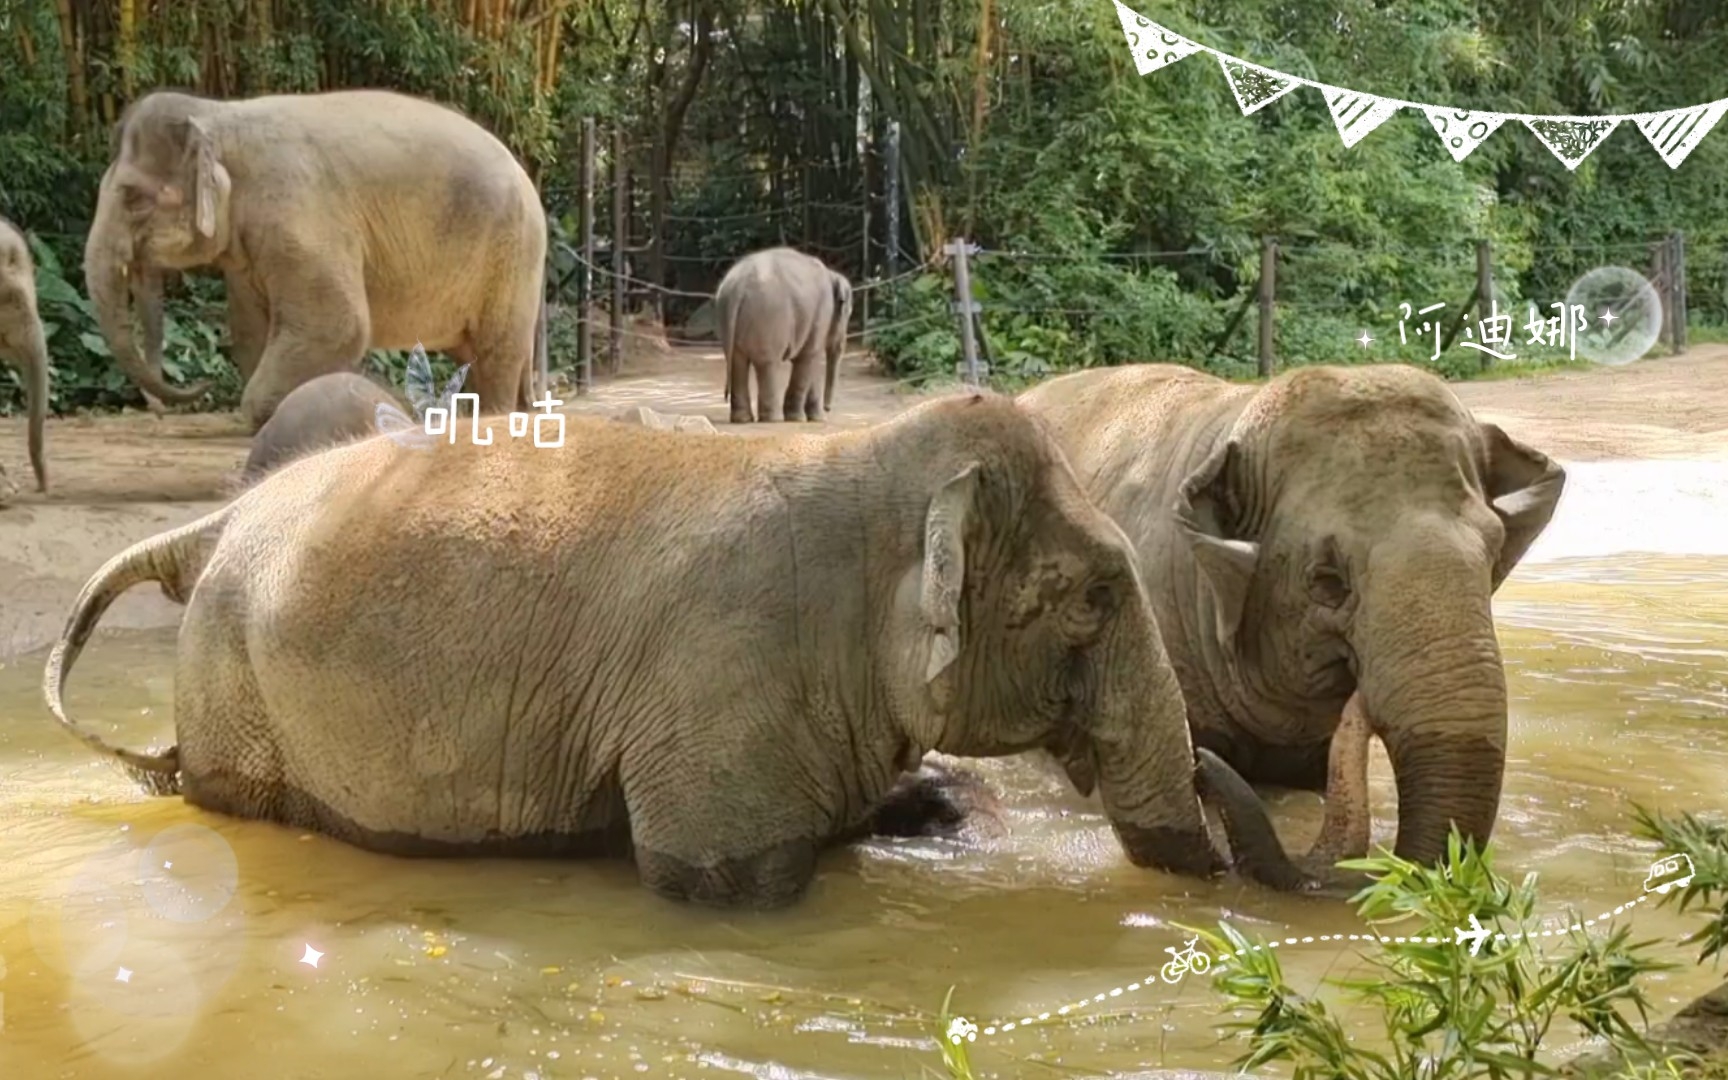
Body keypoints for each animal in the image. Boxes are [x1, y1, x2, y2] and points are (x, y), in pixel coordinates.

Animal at [40, 392, 1299, 905]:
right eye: (1091, 597)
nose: (1213, 761)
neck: (872, 460)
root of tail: (213, 524)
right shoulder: (725, 678)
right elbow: (727, 881)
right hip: (236, 685)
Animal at [82, 88, 546, 432]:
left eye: (133, 198)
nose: (160, 409)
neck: (219, 116)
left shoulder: (301, 219)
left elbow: (341, 324)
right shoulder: (251, 255)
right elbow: (250, 331)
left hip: (513, 256)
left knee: (496, 357)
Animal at [715, 247, 850, 423]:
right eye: (848, 314)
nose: (828, 408)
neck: (831, 274)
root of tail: (738, 287)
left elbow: (811, 360)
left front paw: (816, 419)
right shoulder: (822, 313)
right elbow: (809, 355)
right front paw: (799, 419)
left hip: (730, 318)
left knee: (737, 362)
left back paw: (743, 419)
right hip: (768, 319)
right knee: (768, 363)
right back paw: (773, 419)